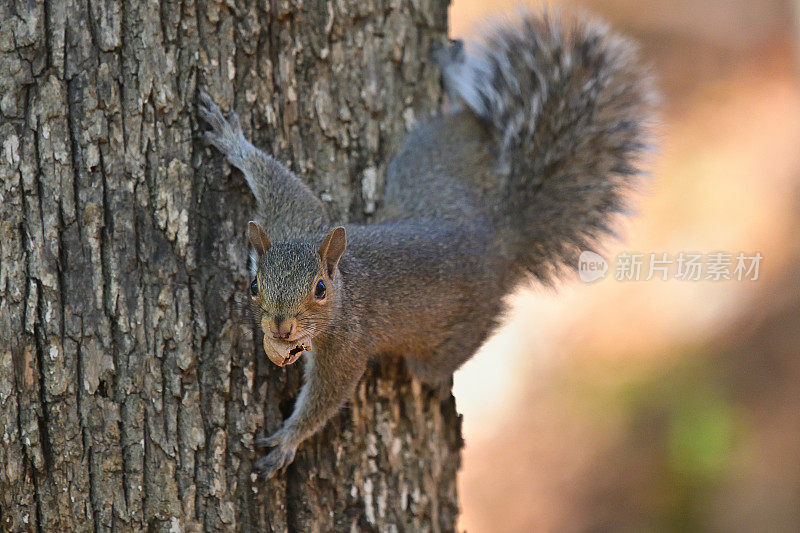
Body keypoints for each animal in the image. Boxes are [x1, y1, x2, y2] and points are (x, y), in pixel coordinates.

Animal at [197, 10, 652, 480]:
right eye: (254, 285)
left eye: (320, 289)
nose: (281, 328)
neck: (346, 287)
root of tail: (498, 236)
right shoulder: (295, 218)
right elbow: (278, 180)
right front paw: (232, 141)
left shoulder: (347, 344)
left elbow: (328, 395)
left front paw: (289, 439)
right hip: (431, 161)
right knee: (469, 119)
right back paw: (454, 72)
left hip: (450, 336)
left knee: (434, 366)